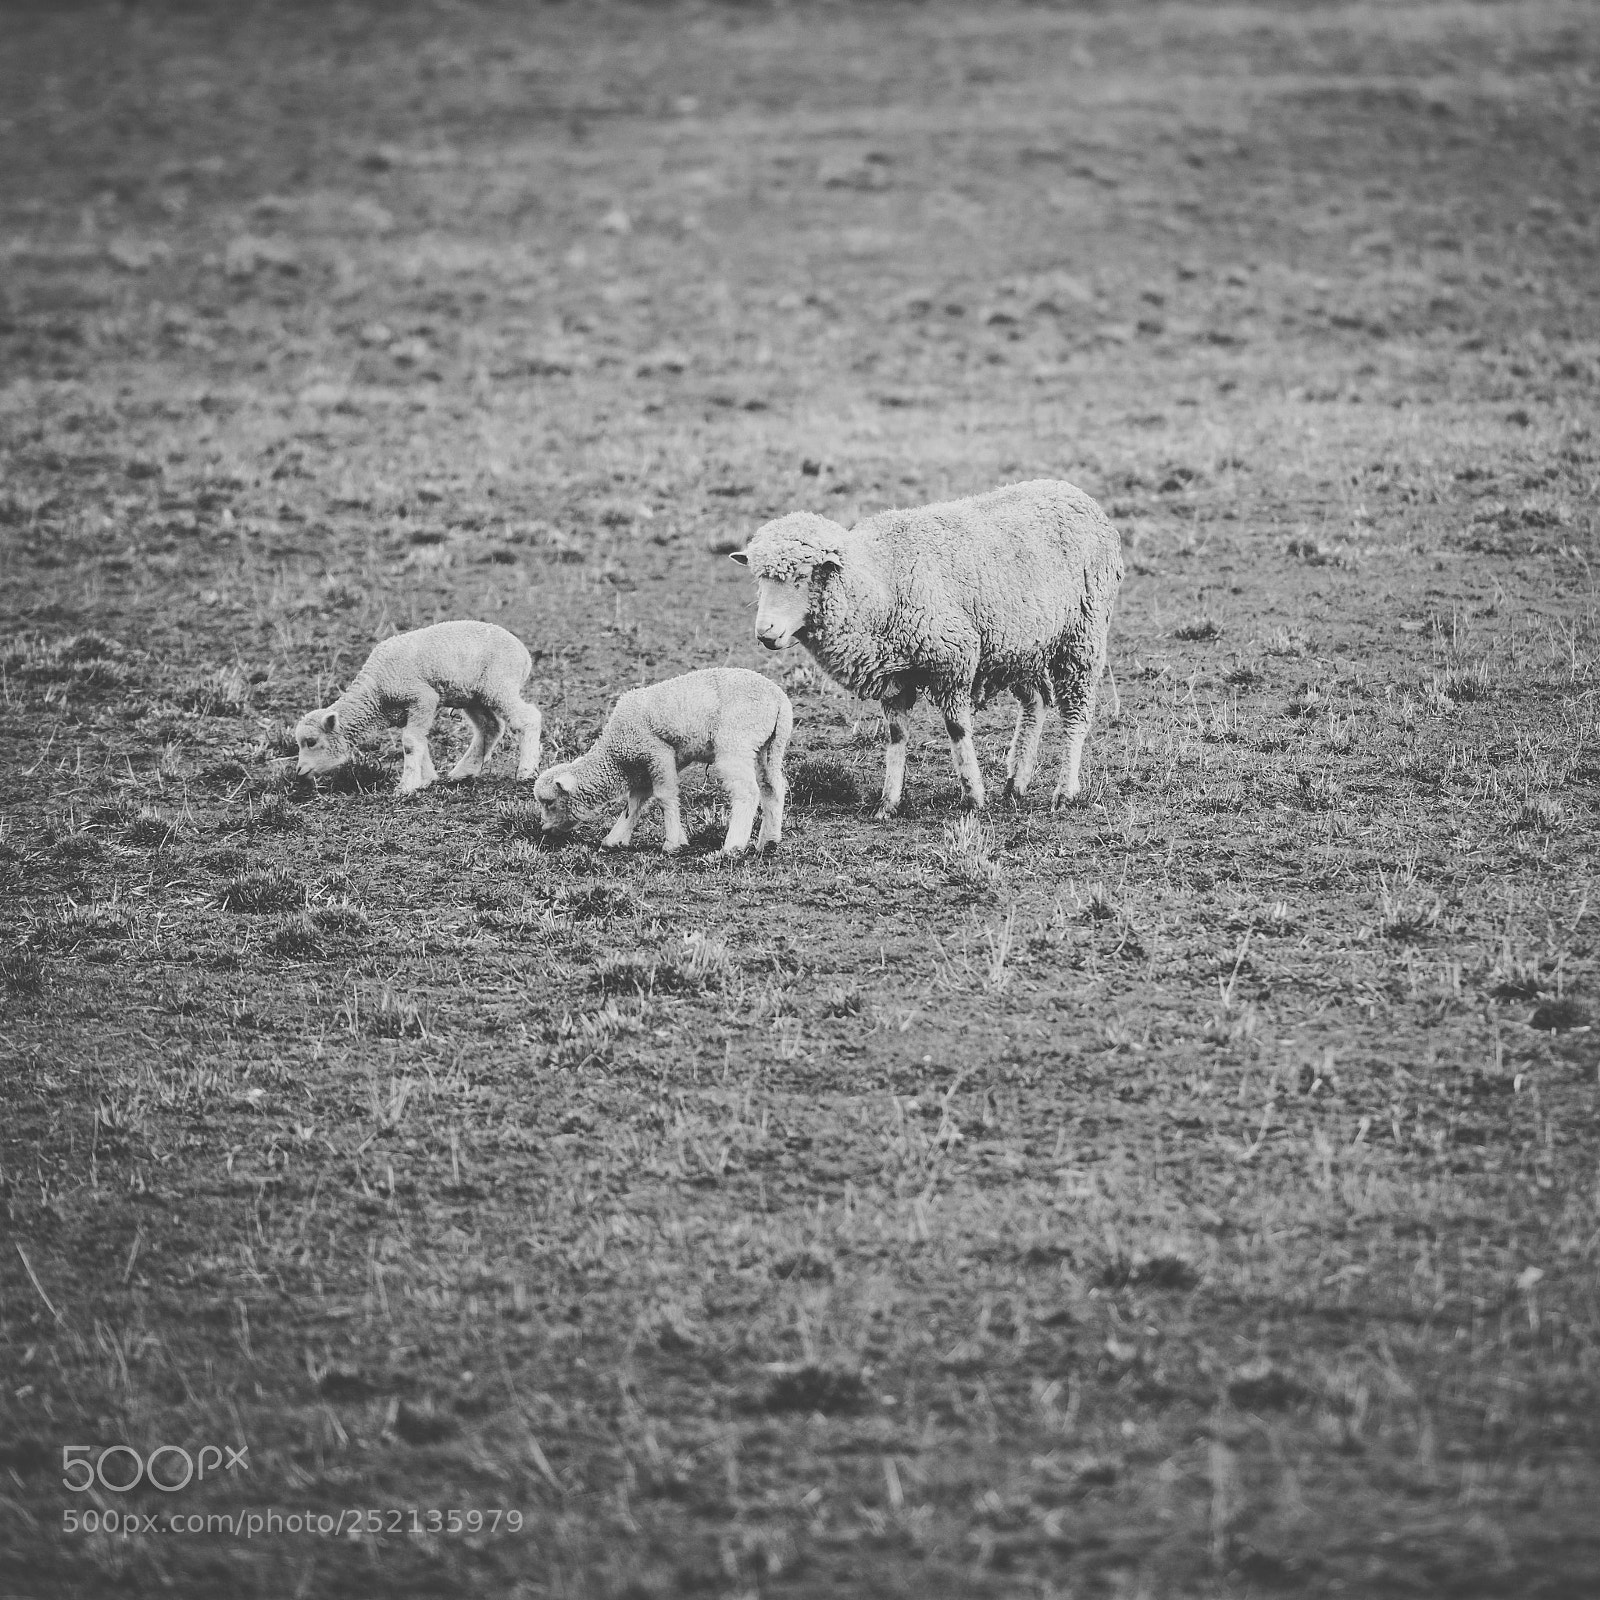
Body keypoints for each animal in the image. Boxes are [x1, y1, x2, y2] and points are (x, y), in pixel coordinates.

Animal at [295, 620, 542, 796]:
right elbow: (419, 741)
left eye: (311, 742)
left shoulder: (422, 698)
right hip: (472, 695)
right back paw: (463, 772)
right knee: (490, 727)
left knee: (528, 718)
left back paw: (526, 771)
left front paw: (406, 787)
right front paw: (426, 779)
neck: (375, 692)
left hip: (498, 685)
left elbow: (410, 743)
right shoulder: (411, 711)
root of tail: (524, 654)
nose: (299, 772)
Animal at [532, 668, 791, 856]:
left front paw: (674, 843)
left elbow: (664, 797)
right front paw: (614, 839)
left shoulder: (657, 752)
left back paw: (732, 847)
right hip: (768, 746)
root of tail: (779, 699)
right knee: (773, 788)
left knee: (747, 792)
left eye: (549, 802)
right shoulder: (646, 766)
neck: (617, 754)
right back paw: (768, 841)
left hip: (736, 742)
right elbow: (634, 803)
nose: (544, 829)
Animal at [730, 479, 1123, 816]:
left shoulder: (954, 659)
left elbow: (957, 729)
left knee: (1075, 714)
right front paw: (888, 804)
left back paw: (1064, 791)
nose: (765, 633)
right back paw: (1016, 784)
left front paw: (972, 796)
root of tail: (1074, 492)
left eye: (802, 577)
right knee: (1036, 702)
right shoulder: (894, 677)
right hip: (1019, 646)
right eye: (759, 578)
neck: (881, 582)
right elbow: (897, 736)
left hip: (1082, 635)